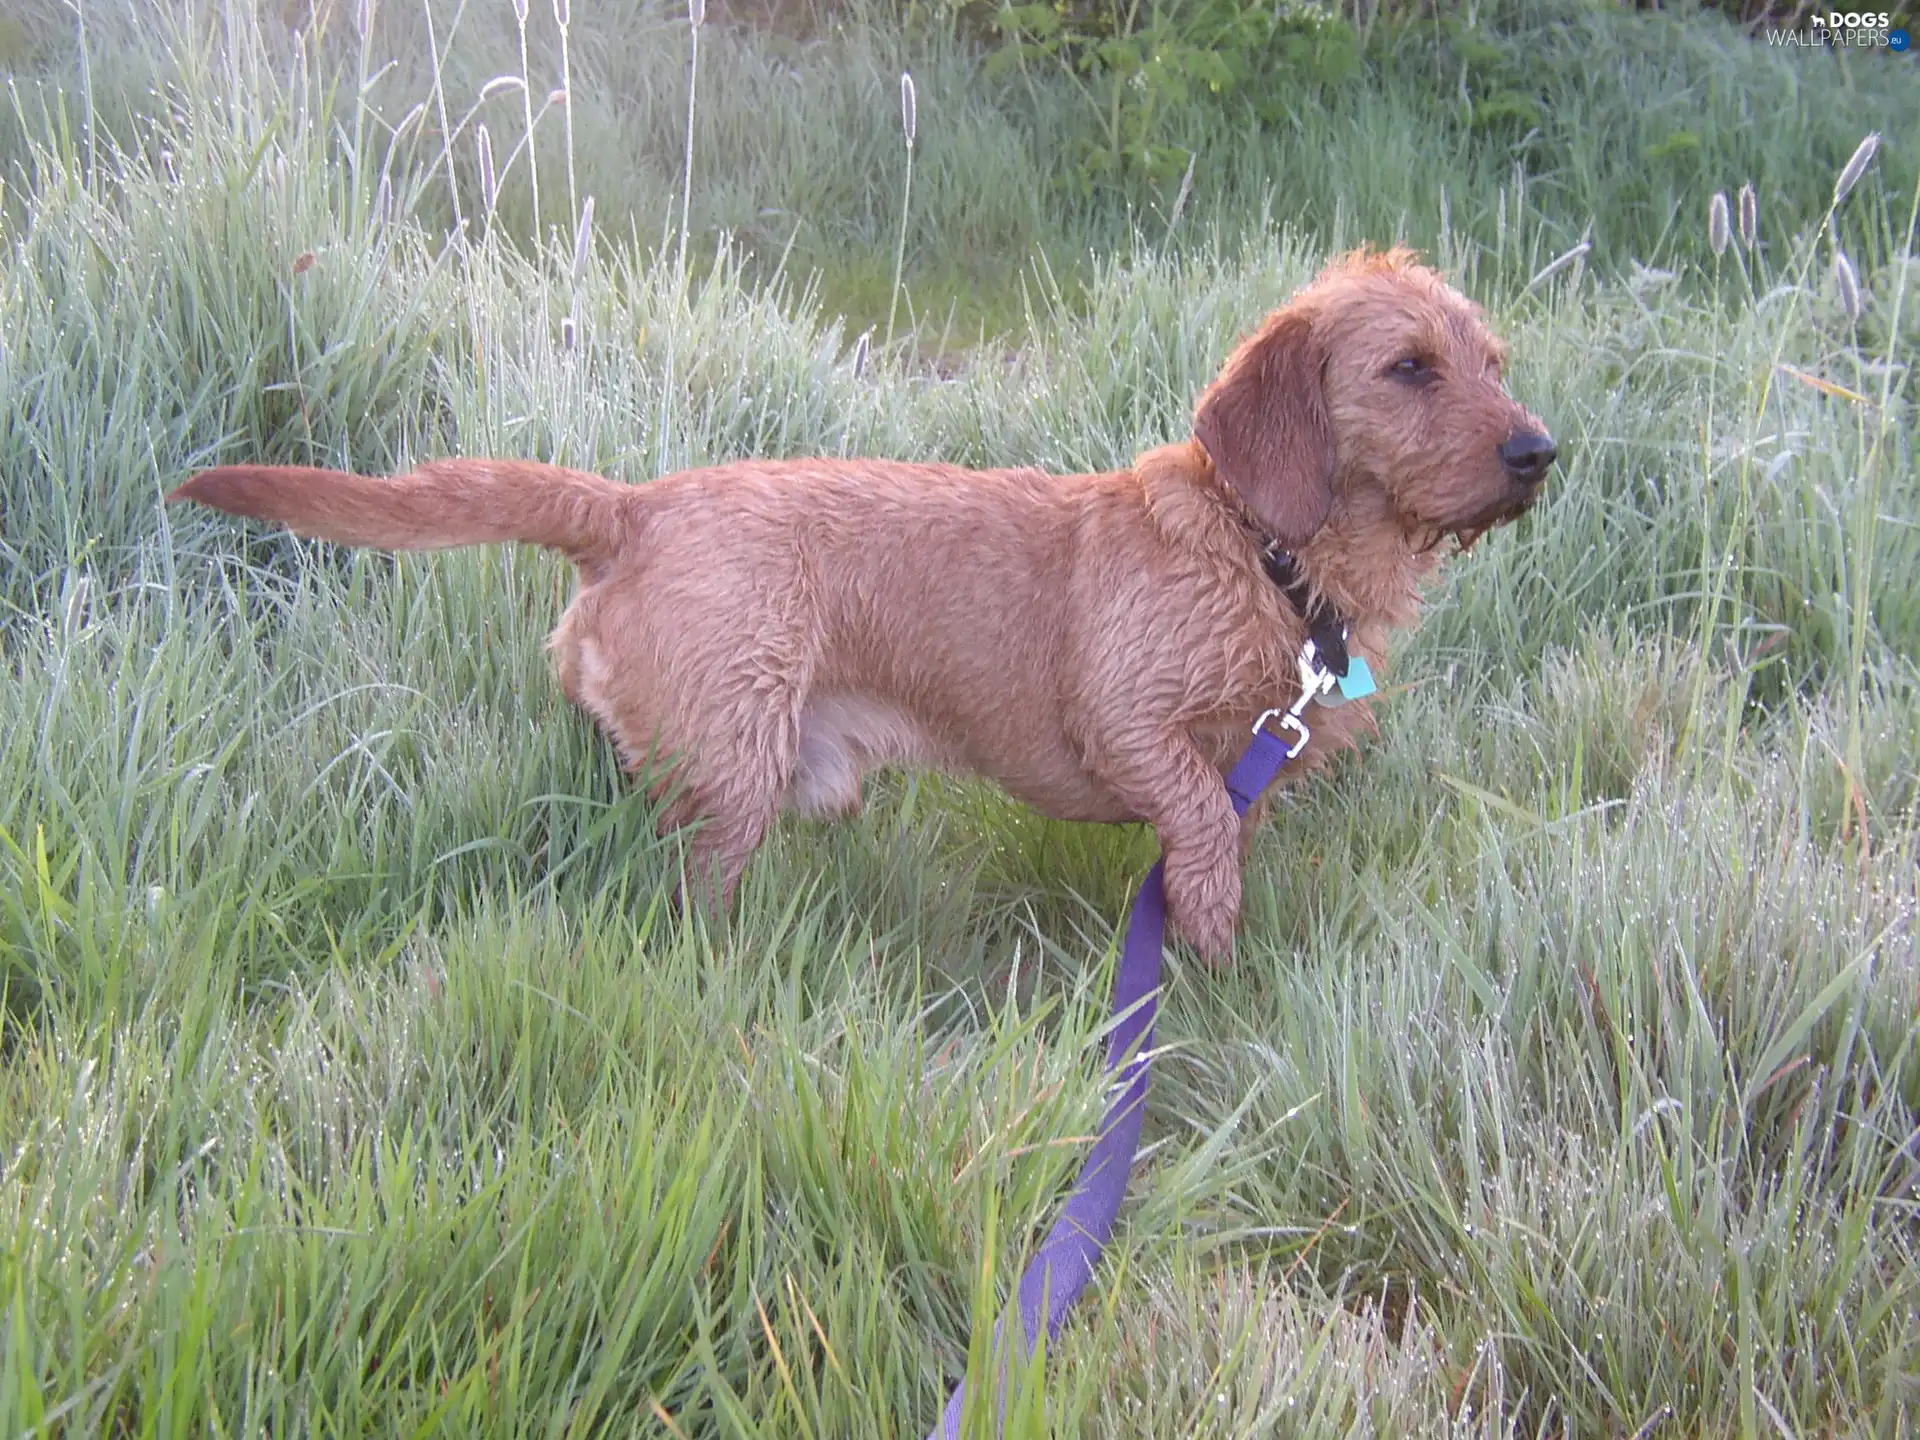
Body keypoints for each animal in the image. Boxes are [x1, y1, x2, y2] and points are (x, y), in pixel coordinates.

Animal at [161, 247, 1543, 963]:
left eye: (1492, 362)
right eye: (1407, 369)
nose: (1541, 452)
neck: (1267, 557)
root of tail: (637, 506)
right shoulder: (1131, 727)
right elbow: (1201, 835)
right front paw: (1201, 975)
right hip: (734, 772)